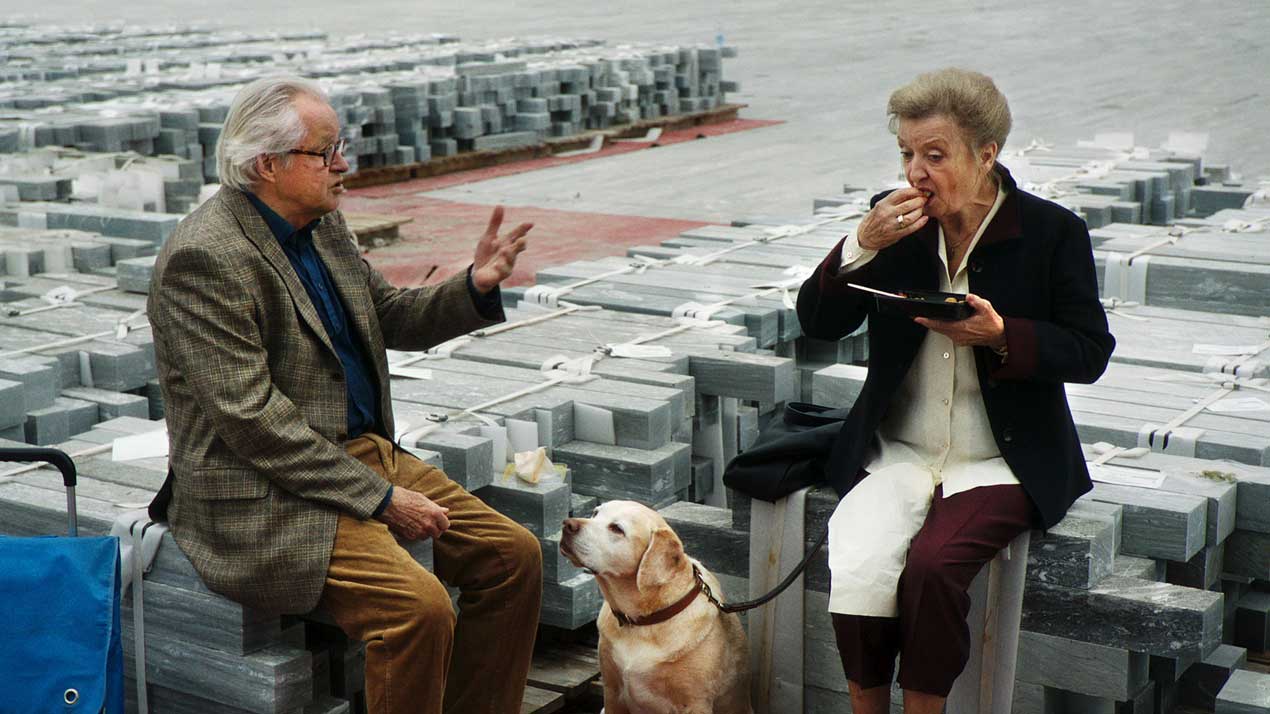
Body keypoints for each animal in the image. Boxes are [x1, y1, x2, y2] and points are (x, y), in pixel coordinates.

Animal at [561, 498, 746, 706]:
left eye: (617, 529)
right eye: (595, 513)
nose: (567, 524)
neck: (642, 621)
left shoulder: (695, 702)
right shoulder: (612, 691)